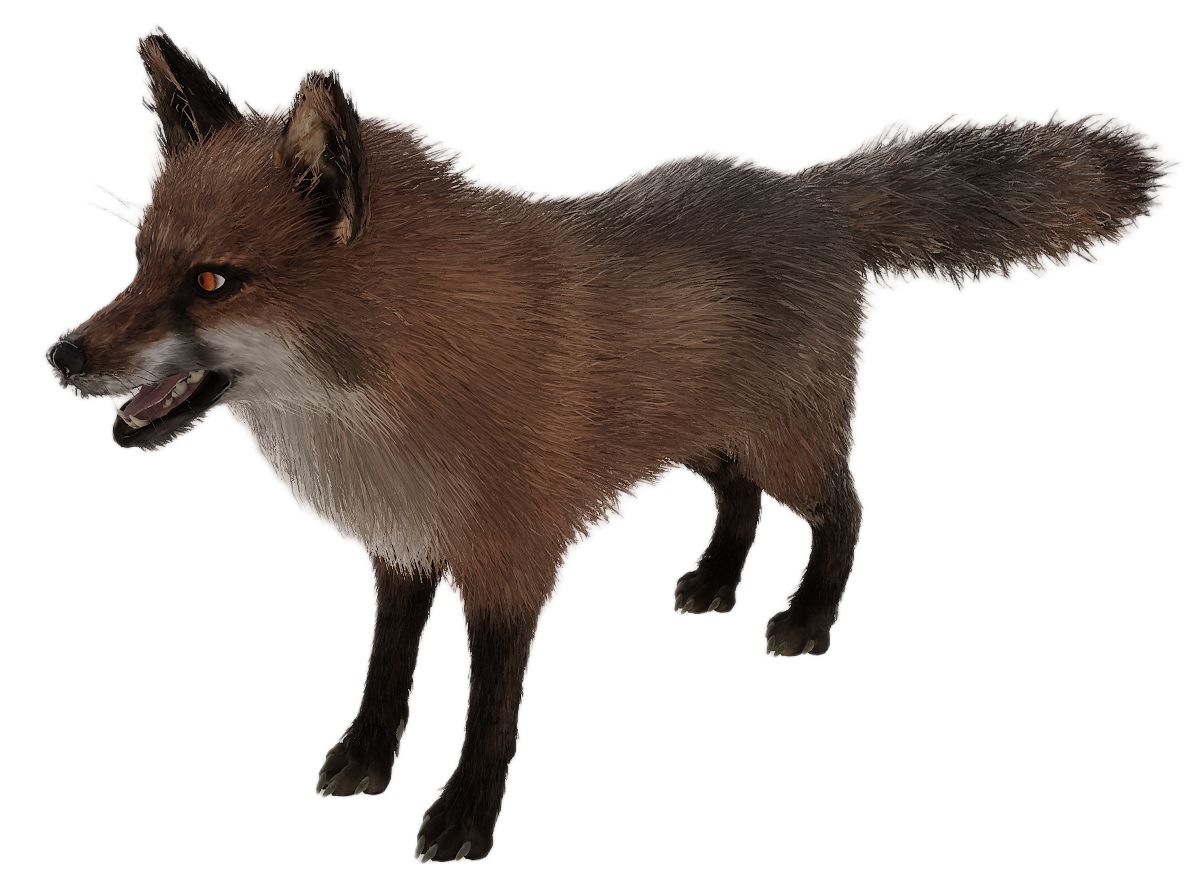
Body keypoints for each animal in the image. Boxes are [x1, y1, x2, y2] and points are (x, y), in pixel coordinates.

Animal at [42, 23, 1179, 862]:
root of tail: (805, 188)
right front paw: (364, 759)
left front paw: (463, 817)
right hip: (703, 439)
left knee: (849, 510)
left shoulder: (509, 562)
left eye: (214, 281)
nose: (60, 356)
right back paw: (713, 583)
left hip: (784, 444)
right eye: (140, 259)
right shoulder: (404, 547)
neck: (392, 385)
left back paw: (807, 620)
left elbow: (490, 710)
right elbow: (386, 669)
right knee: (737, 501)